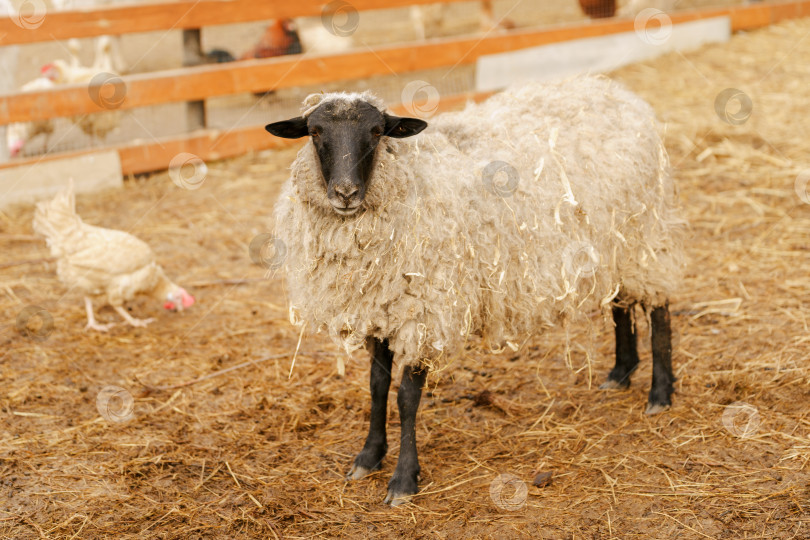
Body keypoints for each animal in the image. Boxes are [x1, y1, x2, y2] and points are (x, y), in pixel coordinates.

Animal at [264, 77, 680, 506]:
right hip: (615, 243)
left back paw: (660, 393)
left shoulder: (425, 310)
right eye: (315, 132)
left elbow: (406, 398)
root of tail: (617, 91)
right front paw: (368, 456)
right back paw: (621, 372)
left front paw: (403, 479)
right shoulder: (379, 307)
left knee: (659, 307)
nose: (345, 193)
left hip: (645, 237)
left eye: (377, 132)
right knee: (621, 301)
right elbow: (377, 386)